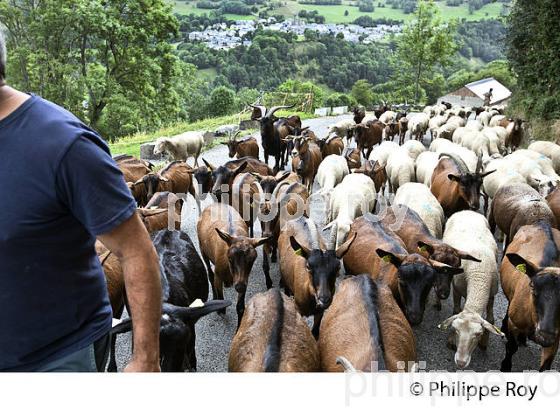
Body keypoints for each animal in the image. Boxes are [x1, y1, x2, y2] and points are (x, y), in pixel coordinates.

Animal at [440, 211, 500, 368]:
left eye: (478, 334)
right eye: (455, 330)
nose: (461, 363)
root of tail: (468, 211)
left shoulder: (491, 294)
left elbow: (490, 319)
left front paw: (484, 343)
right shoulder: (456, 288)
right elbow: (456, 310)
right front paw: (451, 341)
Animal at [500, 224, 560, 372]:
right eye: (532, 286)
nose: (545, 335)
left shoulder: (556, 337)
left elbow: (546, 366)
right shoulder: (514, 323)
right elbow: (511, 347)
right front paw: (505, 366)